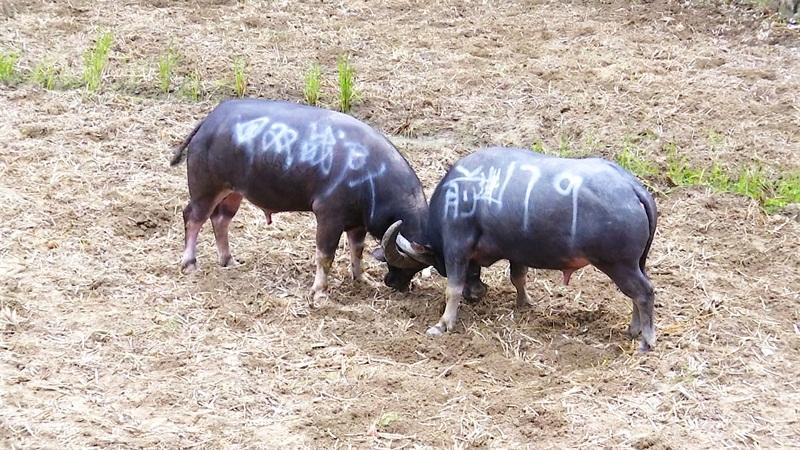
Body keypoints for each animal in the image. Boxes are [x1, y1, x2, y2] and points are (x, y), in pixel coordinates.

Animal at [171, 98, 428, 298]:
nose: (396, 284)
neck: (370, 173)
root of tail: (210, 120)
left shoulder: (357, 224)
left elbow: (357, 250)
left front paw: (362, 278)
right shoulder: (328, 217)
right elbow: (325, 255)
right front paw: (320, 293)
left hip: (233, 193)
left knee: (220, 219)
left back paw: (228, 260)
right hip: (205, 188)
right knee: (193, 217)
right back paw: (189, 264)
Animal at [382, 148, 656, 352]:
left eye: (439, 266)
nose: (477, 293)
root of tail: (633, 188)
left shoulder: (455, 246)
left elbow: (453, 289)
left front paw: (443, 324)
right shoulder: (516, 253)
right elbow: (518, 277)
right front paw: (524, 303)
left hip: (619, 264)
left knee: (644, 292)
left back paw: (646, 339)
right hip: (636, 264)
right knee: (637, 293)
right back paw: (634, 330)